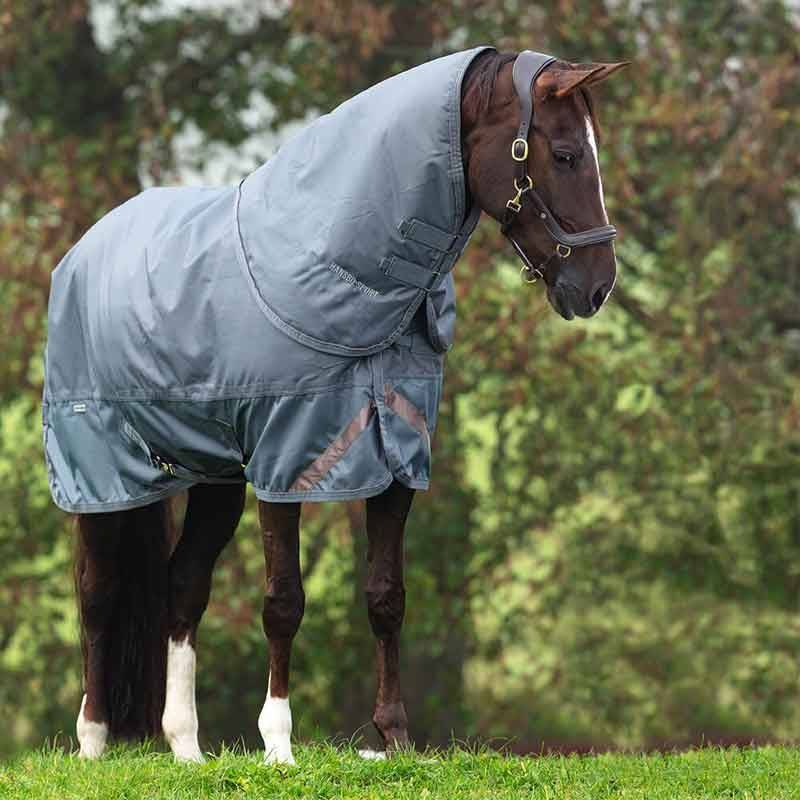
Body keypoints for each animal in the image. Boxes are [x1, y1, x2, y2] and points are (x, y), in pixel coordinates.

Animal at [46, 47, 627, 763]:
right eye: (567, 153)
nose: (597, 287)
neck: (332, 266)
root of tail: (84, 251)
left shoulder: (397, 459)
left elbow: (386, 597)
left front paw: (395, 737)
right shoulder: (285, 463)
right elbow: (283, 602)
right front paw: (279, 744)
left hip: (214, 477)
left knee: (183, 586)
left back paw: (186, 746)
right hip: (101, 472)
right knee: (97, 594)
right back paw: (94, 740)